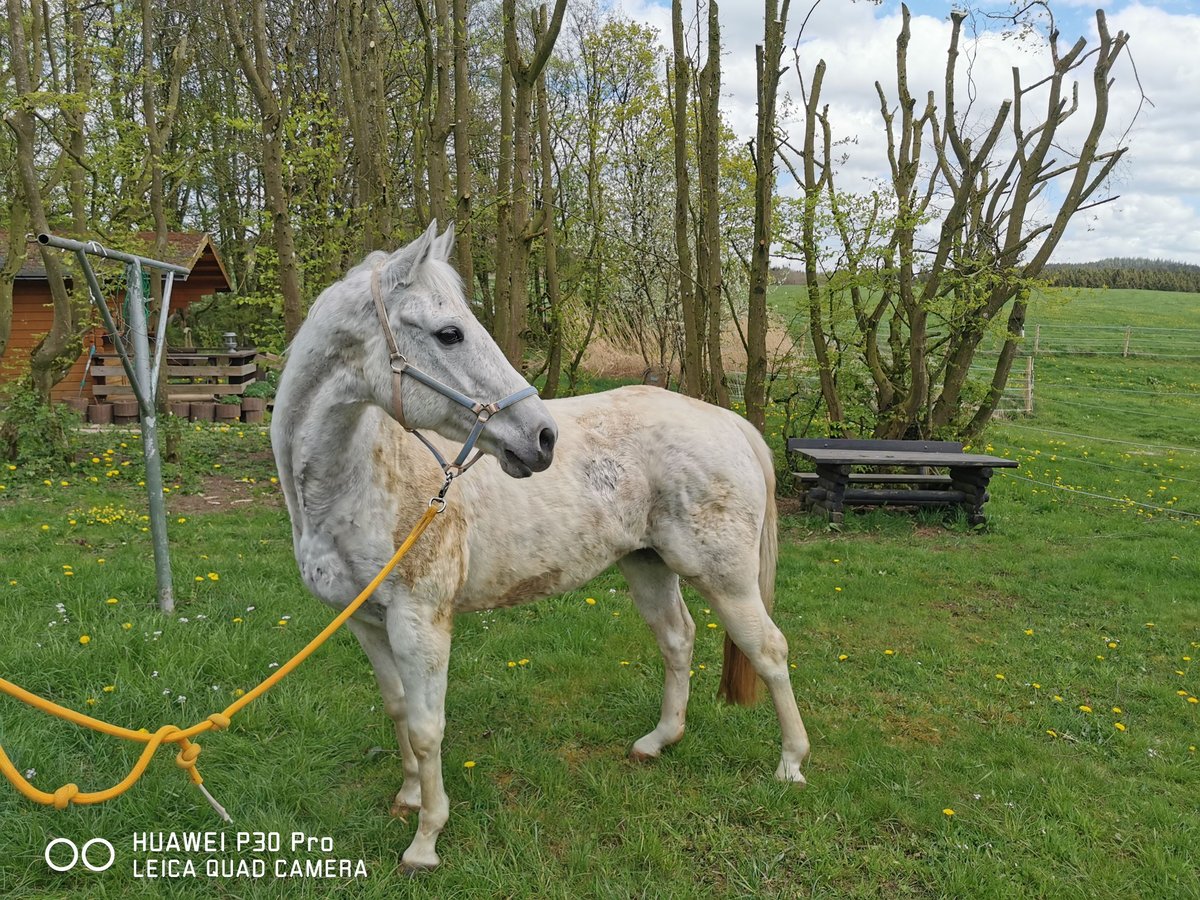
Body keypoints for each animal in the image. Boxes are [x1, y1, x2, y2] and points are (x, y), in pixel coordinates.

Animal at [274, 225, 806, 873]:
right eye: (449, 333)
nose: (544, 437)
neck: (363, 481)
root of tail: (728, 423)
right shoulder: (365, 621)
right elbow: (399, 709)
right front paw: (407, 796)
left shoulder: (419, 621)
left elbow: (427, 728)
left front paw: (426, 839)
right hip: (649, 566)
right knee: (678, 639)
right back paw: (658, 741)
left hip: (725, 577)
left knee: (769, 650)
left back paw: (791, 764)